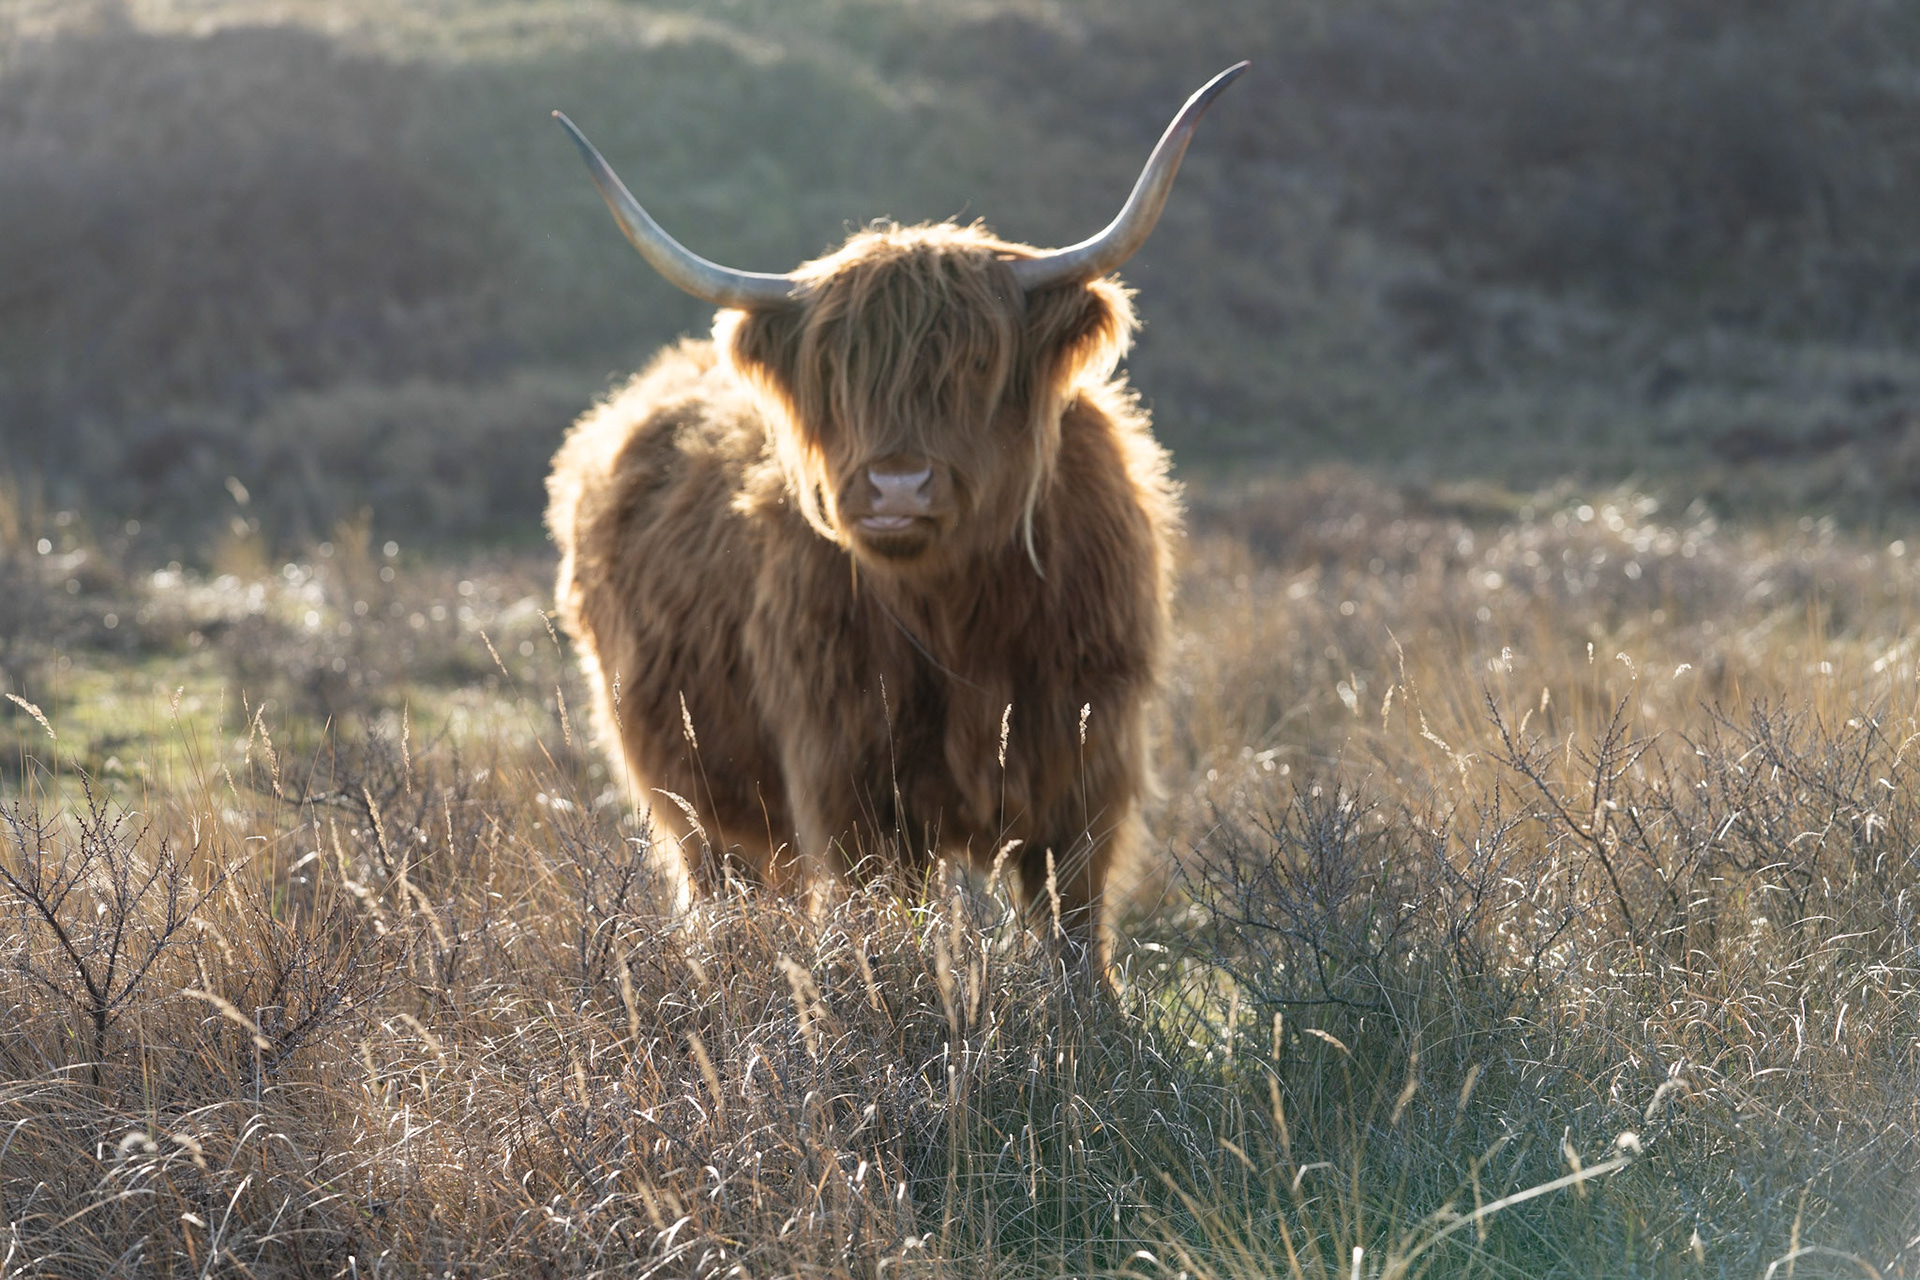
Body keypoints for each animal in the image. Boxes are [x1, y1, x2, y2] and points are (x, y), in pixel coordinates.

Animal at [545, 65, 1246, 975]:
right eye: (835, 372)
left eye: (978, 361)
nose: (898, 488)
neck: (960, 617)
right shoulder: (848, 784)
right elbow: (880, 917)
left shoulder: (1088, 760)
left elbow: (1073, 918)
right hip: (691, 789)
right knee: (726, 887)